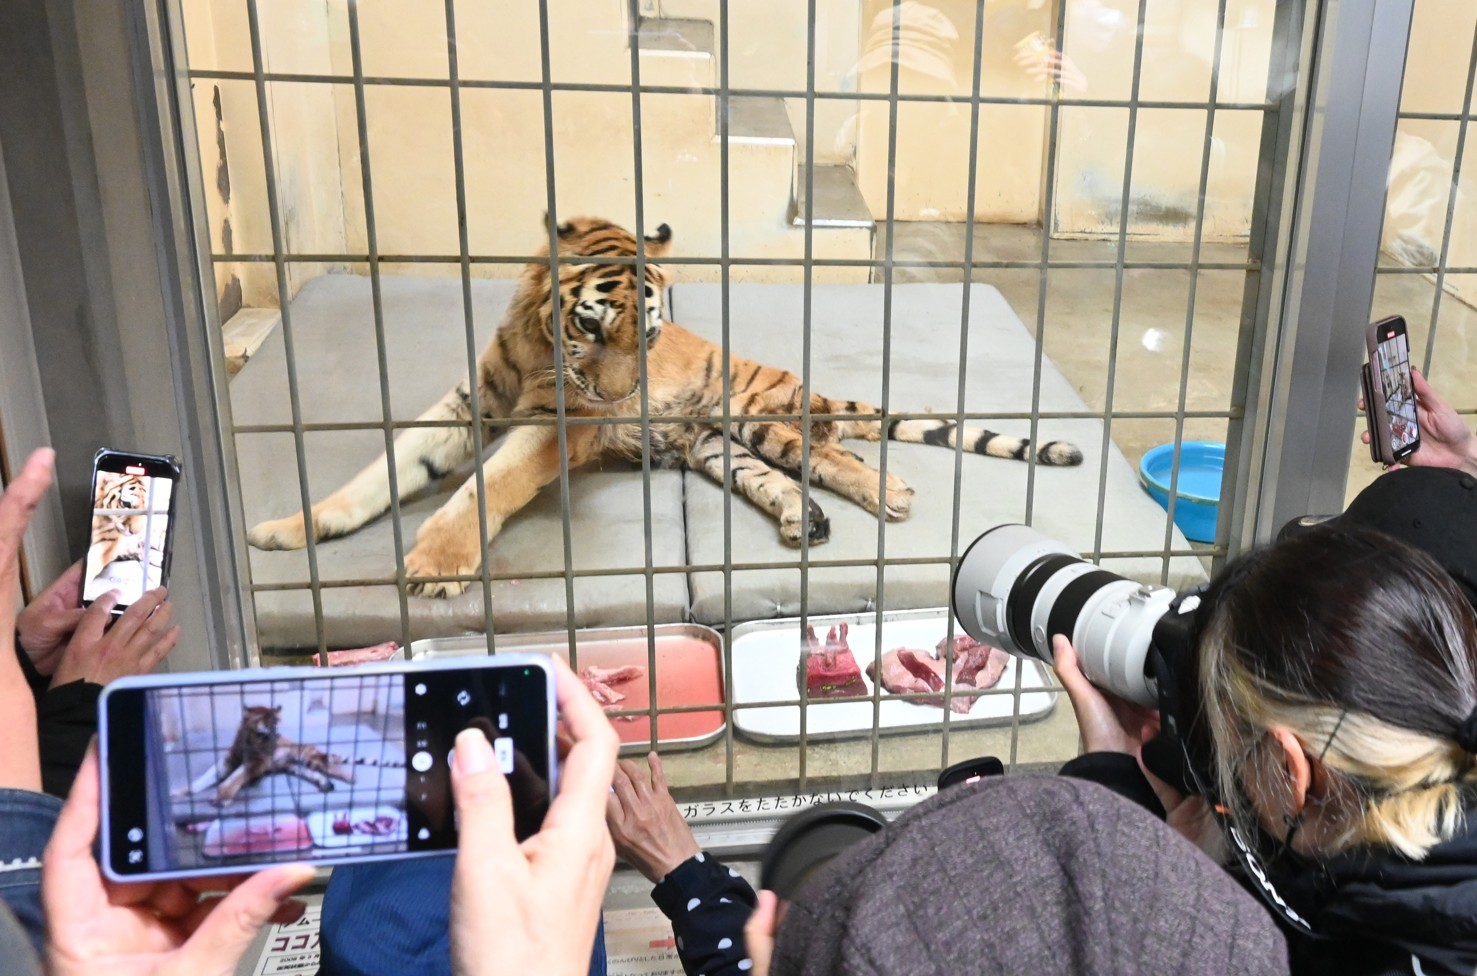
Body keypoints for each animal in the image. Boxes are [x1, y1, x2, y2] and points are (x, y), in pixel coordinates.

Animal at [175, 705, 402, 806]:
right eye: (263, 733)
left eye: (276, 732)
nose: (273, 745)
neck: (247, 744)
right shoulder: (228, 759)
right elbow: (205, 778)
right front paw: (181, 792)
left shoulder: (255, 762)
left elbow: (235, 777)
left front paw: (222, 797)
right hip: (295, 767)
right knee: (318, 774)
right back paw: (326, 785)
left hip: (309, 758)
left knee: (332, 767)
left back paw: (350, 777)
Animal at [247, 216, 1083, 598]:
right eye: (591, 326)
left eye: (645, 332)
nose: (624, 395)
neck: (535, 342)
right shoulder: (463, 408)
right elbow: (381, 474)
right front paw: (293, 529)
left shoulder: (551, 430)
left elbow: (488, 487)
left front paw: (437, 566)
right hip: (719, 449)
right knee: (789, 476)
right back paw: (802, 521)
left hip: (756, 413)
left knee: (833, 447)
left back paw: (890, 493)